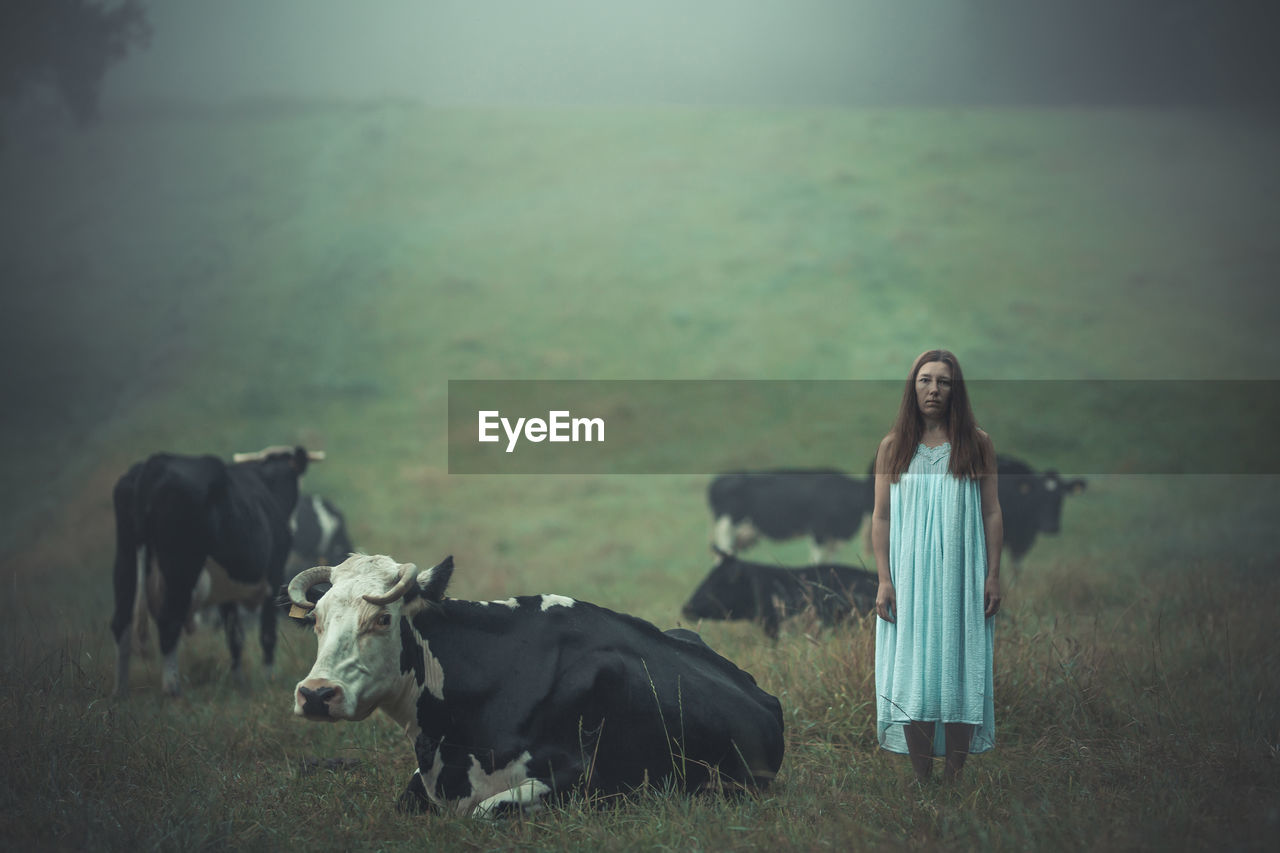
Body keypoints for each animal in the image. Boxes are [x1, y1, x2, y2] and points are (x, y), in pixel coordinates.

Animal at [108, 440, 325, 696]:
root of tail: (154, 464)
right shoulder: (274, 572)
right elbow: (267, 633)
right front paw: (269, 678)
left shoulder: (227, 588)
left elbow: (234, 636)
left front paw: (239, 681)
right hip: (180, 566)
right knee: (169, 622)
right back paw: (172, 688)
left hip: (126, 558)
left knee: (121, 622)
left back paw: (121, 689)